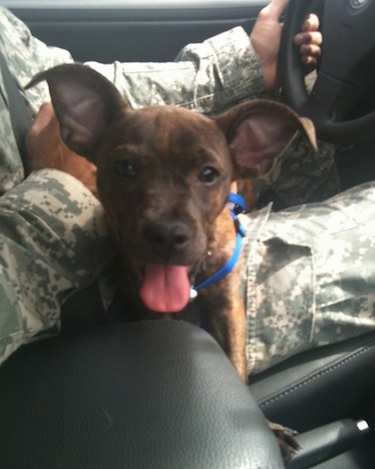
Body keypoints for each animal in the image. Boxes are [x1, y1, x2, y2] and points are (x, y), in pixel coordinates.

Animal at [28, 64, 318, 458]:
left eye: (209, 174)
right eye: (125, 167)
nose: (166, 235)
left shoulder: (229, 307)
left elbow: (237, 366)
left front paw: (269, 428)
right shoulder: (157, 313)